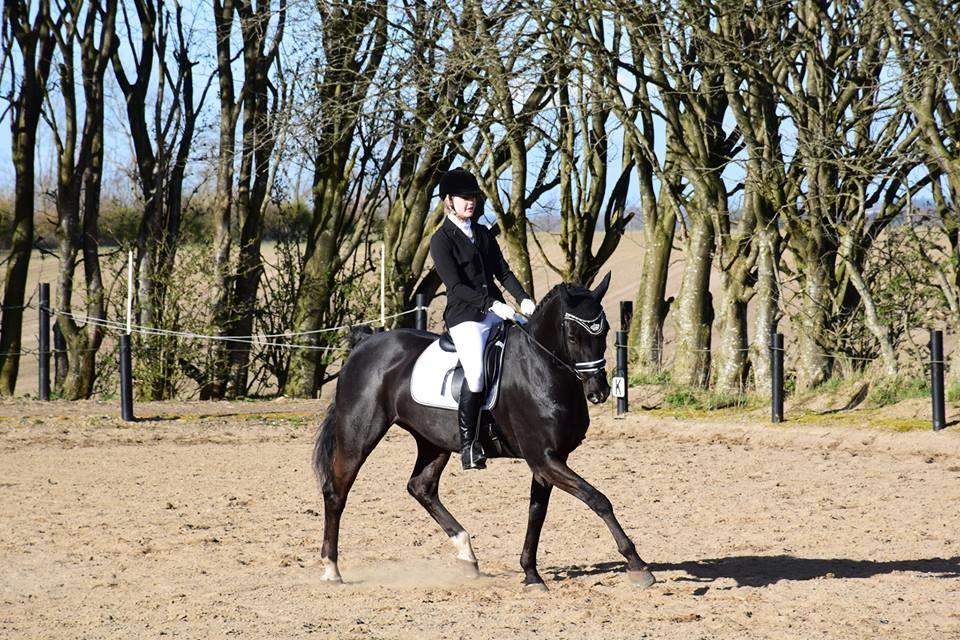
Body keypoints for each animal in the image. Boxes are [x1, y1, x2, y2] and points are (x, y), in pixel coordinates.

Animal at [312, 270, 656, 592]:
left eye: (605, 330)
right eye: (572, 336)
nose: (599, 392)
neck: (540, 367)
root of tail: (365, 344)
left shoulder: (548, 461)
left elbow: (537, 513)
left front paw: (531, 574)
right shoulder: (544, 458)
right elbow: (598, 499)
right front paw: (638, 564)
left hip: (434, 441)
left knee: (421, 487)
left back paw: (467, 554)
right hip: (358, 434)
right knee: (336, 491)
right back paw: (331, 569)